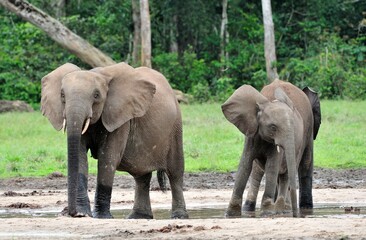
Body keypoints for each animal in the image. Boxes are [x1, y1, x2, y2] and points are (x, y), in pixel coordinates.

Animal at [41, 62, 187, 219]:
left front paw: (101, 216)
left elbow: (108, 158)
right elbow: (80, 157)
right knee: (141, 175)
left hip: (175, 127)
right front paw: (83, 214)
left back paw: (179, 216)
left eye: (96, 95)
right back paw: (138, 216)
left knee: (175, 173)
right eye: (62, 95)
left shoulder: (119, 116)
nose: (71, 212)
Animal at [220, 79, 320, 217]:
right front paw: (231, 214)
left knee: (290, 170)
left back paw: (283, 209)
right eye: (273, 127)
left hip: (306, 134)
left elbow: (272, 166)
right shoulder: (252, 133)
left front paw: (267, 212)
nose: (295, 215)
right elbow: (245, 165)